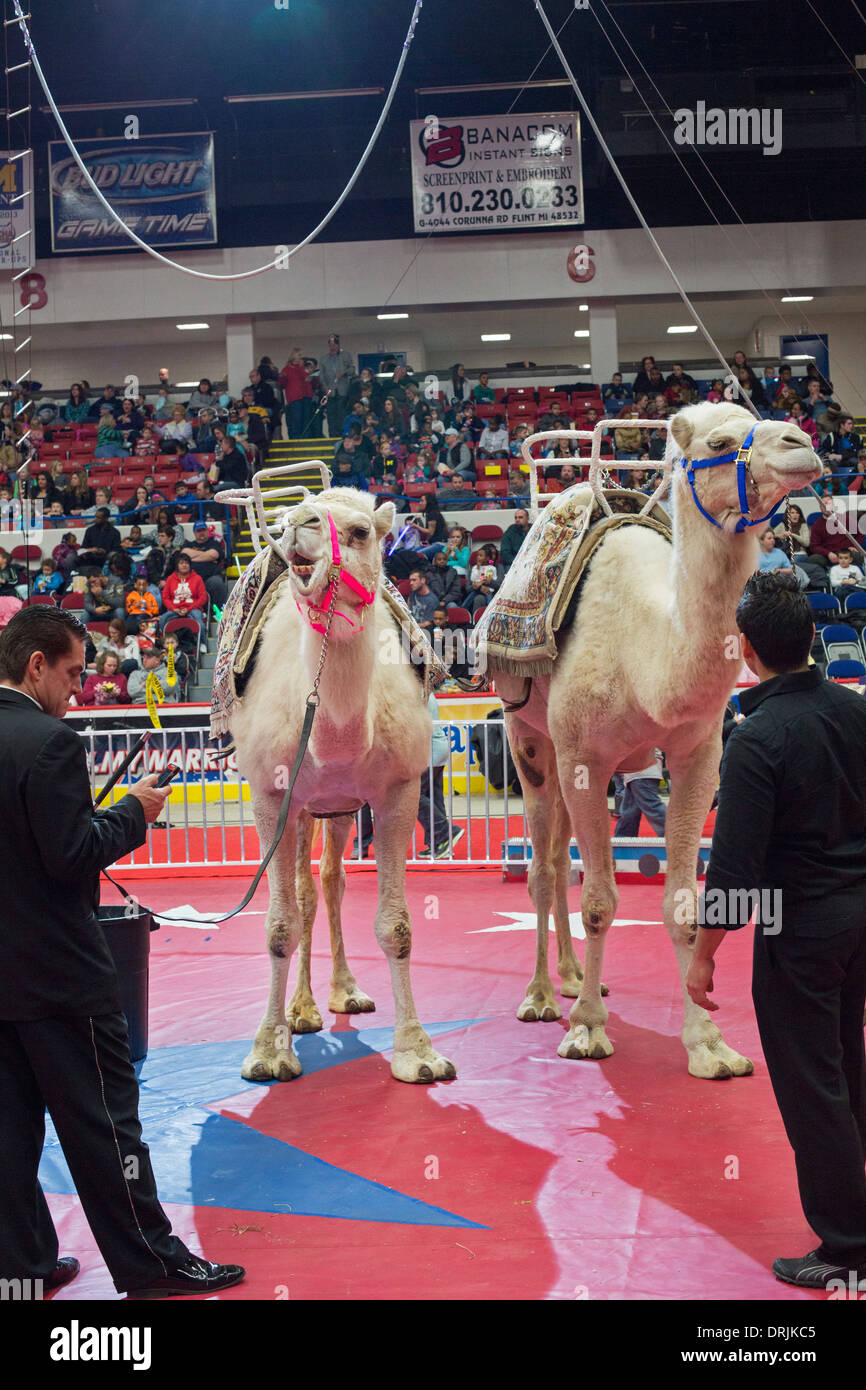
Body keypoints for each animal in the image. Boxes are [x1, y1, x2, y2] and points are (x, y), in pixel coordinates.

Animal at [233, 489, 458, 1084]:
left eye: (360, 532)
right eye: (286, 521)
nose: (298, 524)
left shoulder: (398, 790)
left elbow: (396, 926)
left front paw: (418, 1052)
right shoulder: (272, 795)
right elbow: (279, 925)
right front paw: (269, 1051)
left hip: (337, 809)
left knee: (330, 883)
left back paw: (343, 993)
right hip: (304, 809)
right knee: (306, 893)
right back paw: (302, 1010)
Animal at [489, 397, 817, 1078]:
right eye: (720, 441)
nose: (802, 443)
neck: (646, 652)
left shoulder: (698, 753)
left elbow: (682, 904)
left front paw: (710, 1045)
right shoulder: (585, 758)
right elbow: (600, 902)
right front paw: (587, 1030)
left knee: (560, 858)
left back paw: (572, 977)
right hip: (529, 739)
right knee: (542, 868)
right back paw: (541, 996)